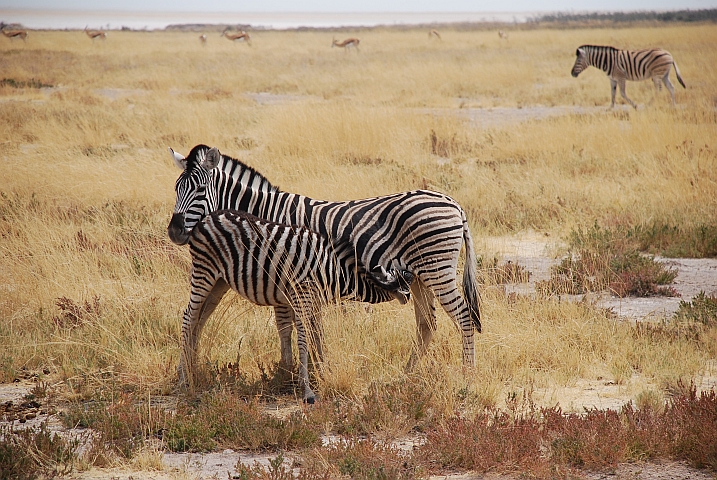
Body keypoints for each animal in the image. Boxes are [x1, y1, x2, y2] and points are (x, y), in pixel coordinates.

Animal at [168, 144, 482, 374]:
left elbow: (286, 323)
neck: (263, 213)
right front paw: (291, 369)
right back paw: (408, 374)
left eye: (199, 190)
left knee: (464, 318)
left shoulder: (281, 272)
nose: (174, 231)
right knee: (427, 324)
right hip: (418, 276)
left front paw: (288, 370)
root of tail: (454, 205)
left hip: (437, 269)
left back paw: (467, 375)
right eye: (175, 189)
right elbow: (291, 324)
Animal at [182, 209, 412, 402]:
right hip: (204, 271)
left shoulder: (315, 302)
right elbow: (304, 340)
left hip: (220, 282)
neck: (333, 270)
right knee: (188, 317)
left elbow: (318, 337)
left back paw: (193, 368)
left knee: (199, 320)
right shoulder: (303, 295)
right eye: (404, 283)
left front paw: (325, 374)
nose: (409, 297)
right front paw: (307, 390)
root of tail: (206, 218)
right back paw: (183, 377)